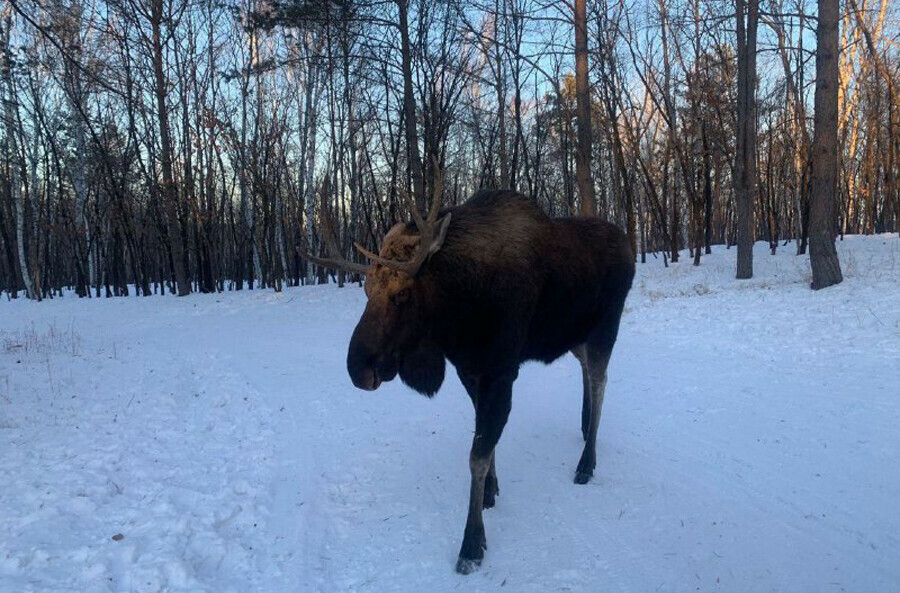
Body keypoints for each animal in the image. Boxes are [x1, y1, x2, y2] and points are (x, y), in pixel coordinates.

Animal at [306, 171, 636, 572]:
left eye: (402, 294)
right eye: (366, 290)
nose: (358, 370)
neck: (458, 313)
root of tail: (628, 245)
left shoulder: (501, 371)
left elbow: (476, 454)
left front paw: (472, 543)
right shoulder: (469, 369)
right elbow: (484, 438)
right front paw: (491, 491)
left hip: (606, 325)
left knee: (601, 380)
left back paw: (587, 462)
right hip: (574, 335)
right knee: (587, 370)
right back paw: (586, 426)